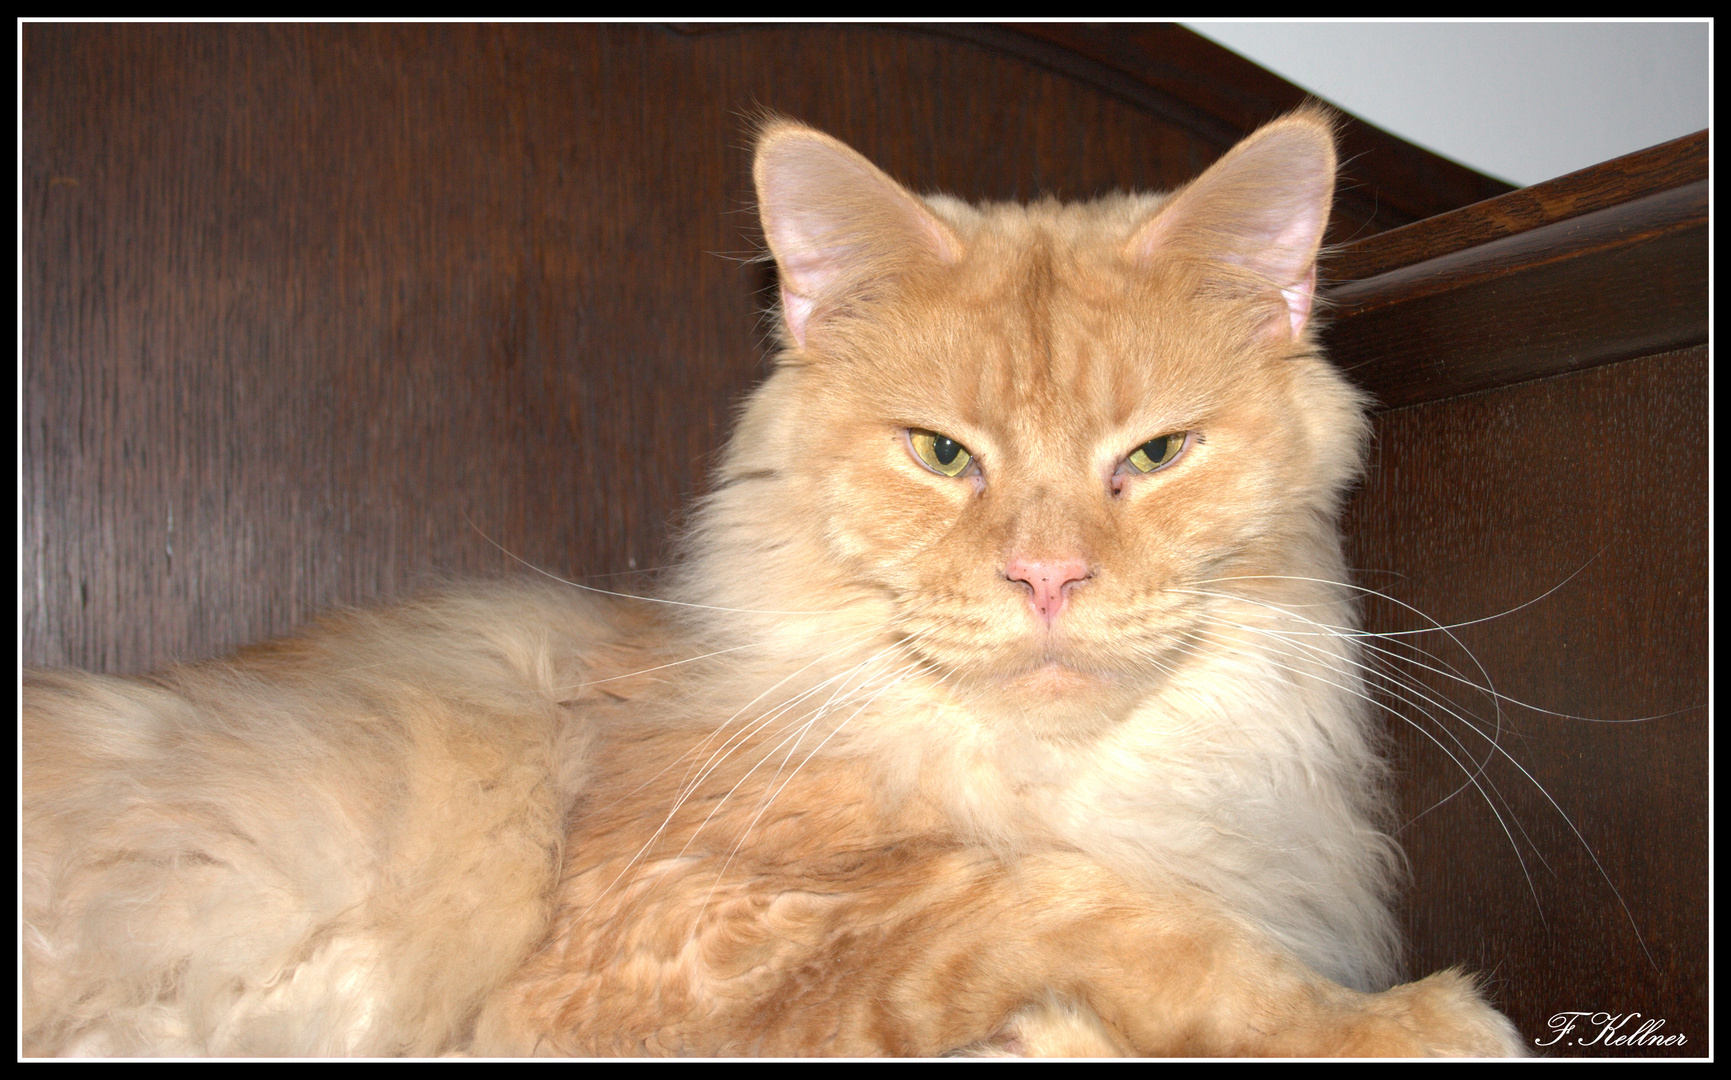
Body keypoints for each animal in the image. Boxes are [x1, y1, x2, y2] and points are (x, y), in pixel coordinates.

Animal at [20, 109, 1523, 1052]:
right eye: (941, 454)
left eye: (1153, 456)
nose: (1045, 576)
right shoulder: (635, 954)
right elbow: (1069, 902)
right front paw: (1396, 1024)